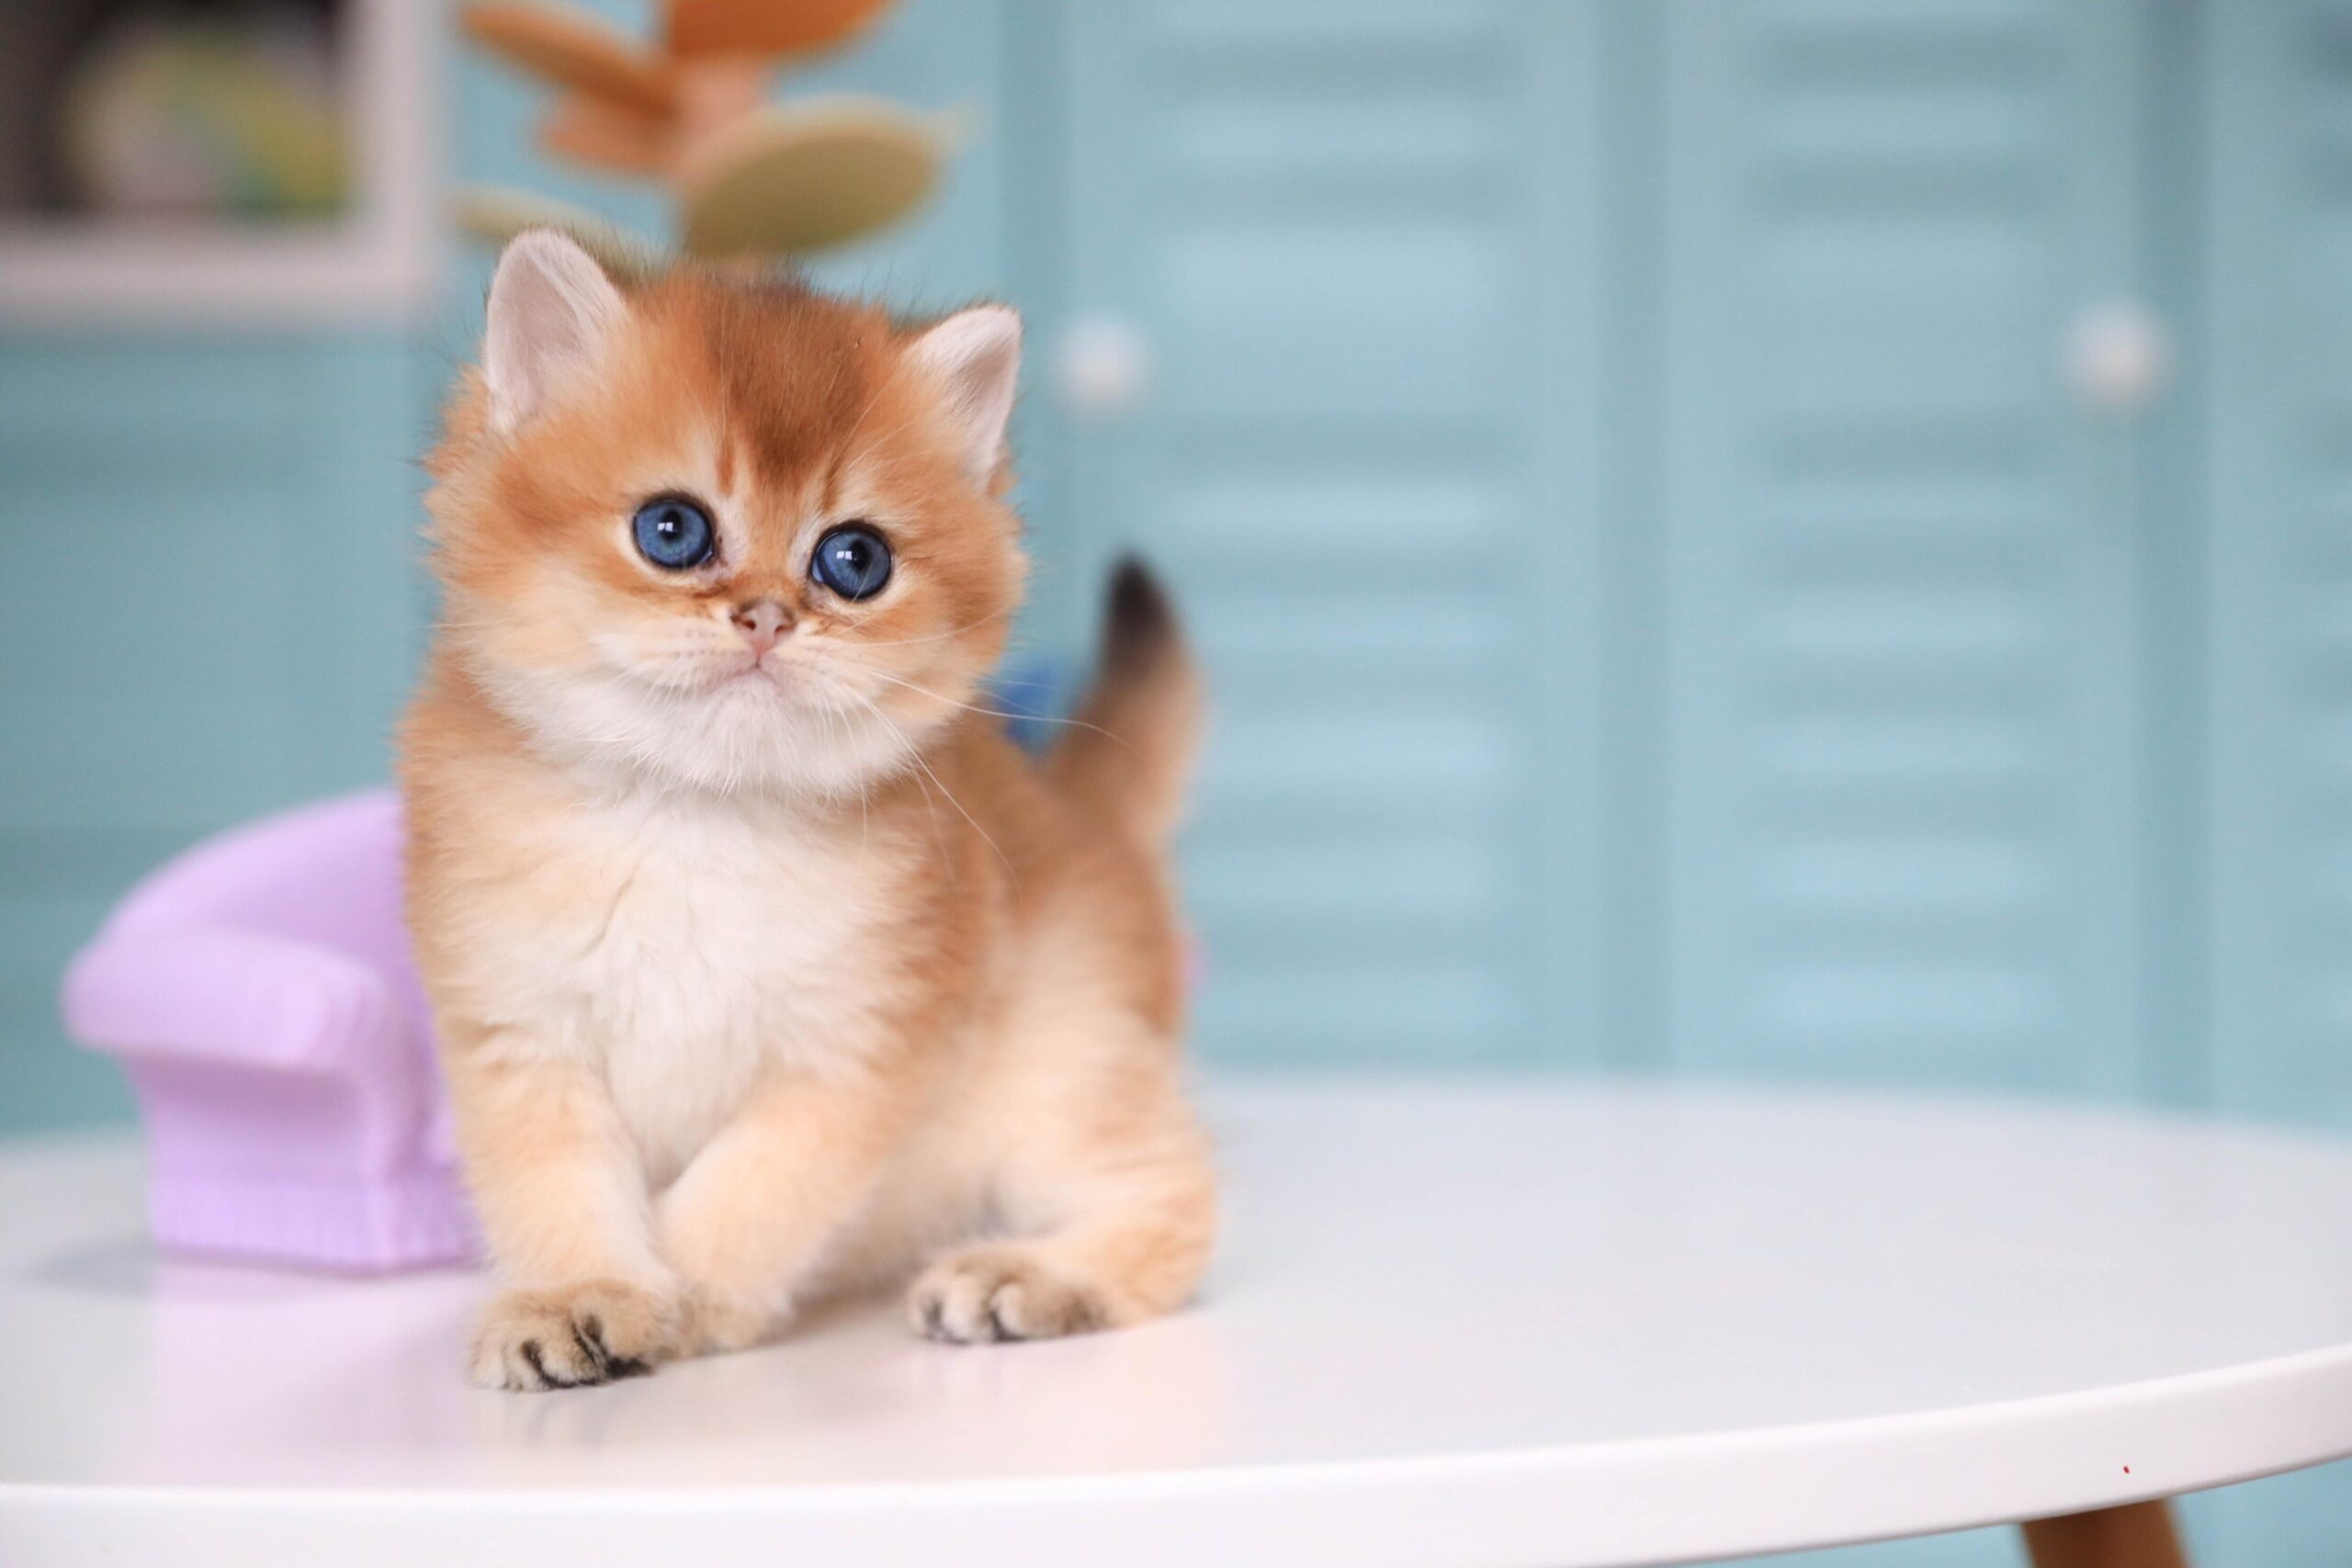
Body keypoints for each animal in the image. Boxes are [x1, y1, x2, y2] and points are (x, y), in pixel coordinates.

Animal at [400, 230, 1214, 1391]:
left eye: (854, 559)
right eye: (671, 530)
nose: (768, 617)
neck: (696, 819)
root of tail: (1084, 814)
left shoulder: (855, 1053)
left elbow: (746, 1190)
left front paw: (687, 1303)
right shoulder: (520, 1036)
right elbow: (558, 1191)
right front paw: (579, 1299)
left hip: (1058, 1077)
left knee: (1175, 1197)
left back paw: (1024, 1278)